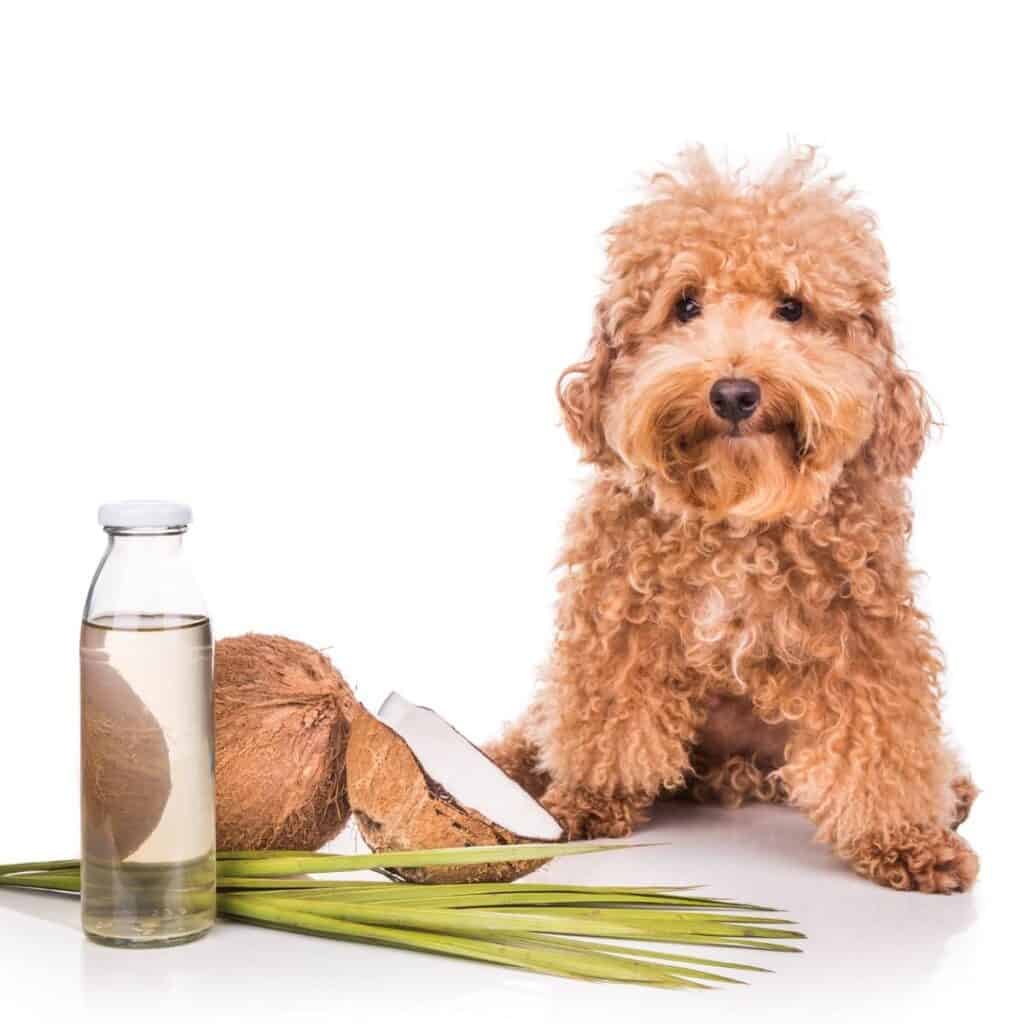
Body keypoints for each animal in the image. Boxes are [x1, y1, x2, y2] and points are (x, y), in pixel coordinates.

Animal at [491, 148, 978, 892]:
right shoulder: (616, 623)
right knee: (540, 724)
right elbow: (603, 718)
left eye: (793, 307)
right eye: (685, 305)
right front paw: (587, 800)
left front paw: (907, 841)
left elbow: (886, 745)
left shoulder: (867, 639)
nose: (734, 393)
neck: (734, 516)